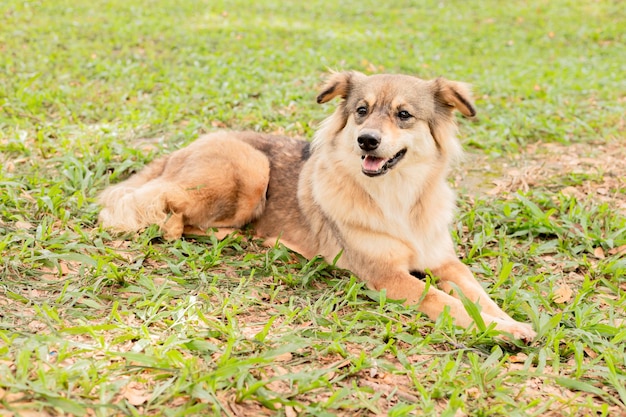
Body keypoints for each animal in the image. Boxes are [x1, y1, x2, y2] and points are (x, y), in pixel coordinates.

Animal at [98, 70, 536, 340]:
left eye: (404, 115)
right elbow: (442, 300)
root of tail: (181, 150)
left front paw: (507, 320)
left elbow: (477, 293)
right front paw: (503, 331)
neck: (396, 196)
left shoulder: (445, 262)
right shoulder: (386, 276)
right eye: (361, 111)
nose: (367, 140)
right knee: (163, 208)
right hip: (251, 168)